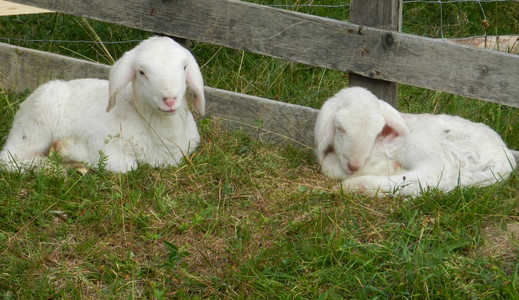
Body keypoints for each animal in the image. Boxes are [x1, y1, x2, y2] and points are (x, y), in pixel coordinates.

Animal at [0, 36, 207, 172]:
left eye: (184, 67)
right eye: (141, 72)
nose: (170, 99)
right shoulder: (99, 142)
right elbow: (127, 165)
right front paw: (69, 151)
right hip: (36, 125)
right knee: (11, 158)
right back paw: (58, 168)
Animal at [314, 86, 516, 197]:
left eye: (376, 132)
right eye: (340, 128)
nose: (354, 166)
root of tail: (504, 160)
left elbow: (327, 167)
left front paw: (387, 166)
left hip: (433, 147)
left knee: (429, 177)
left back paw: (358, 185)